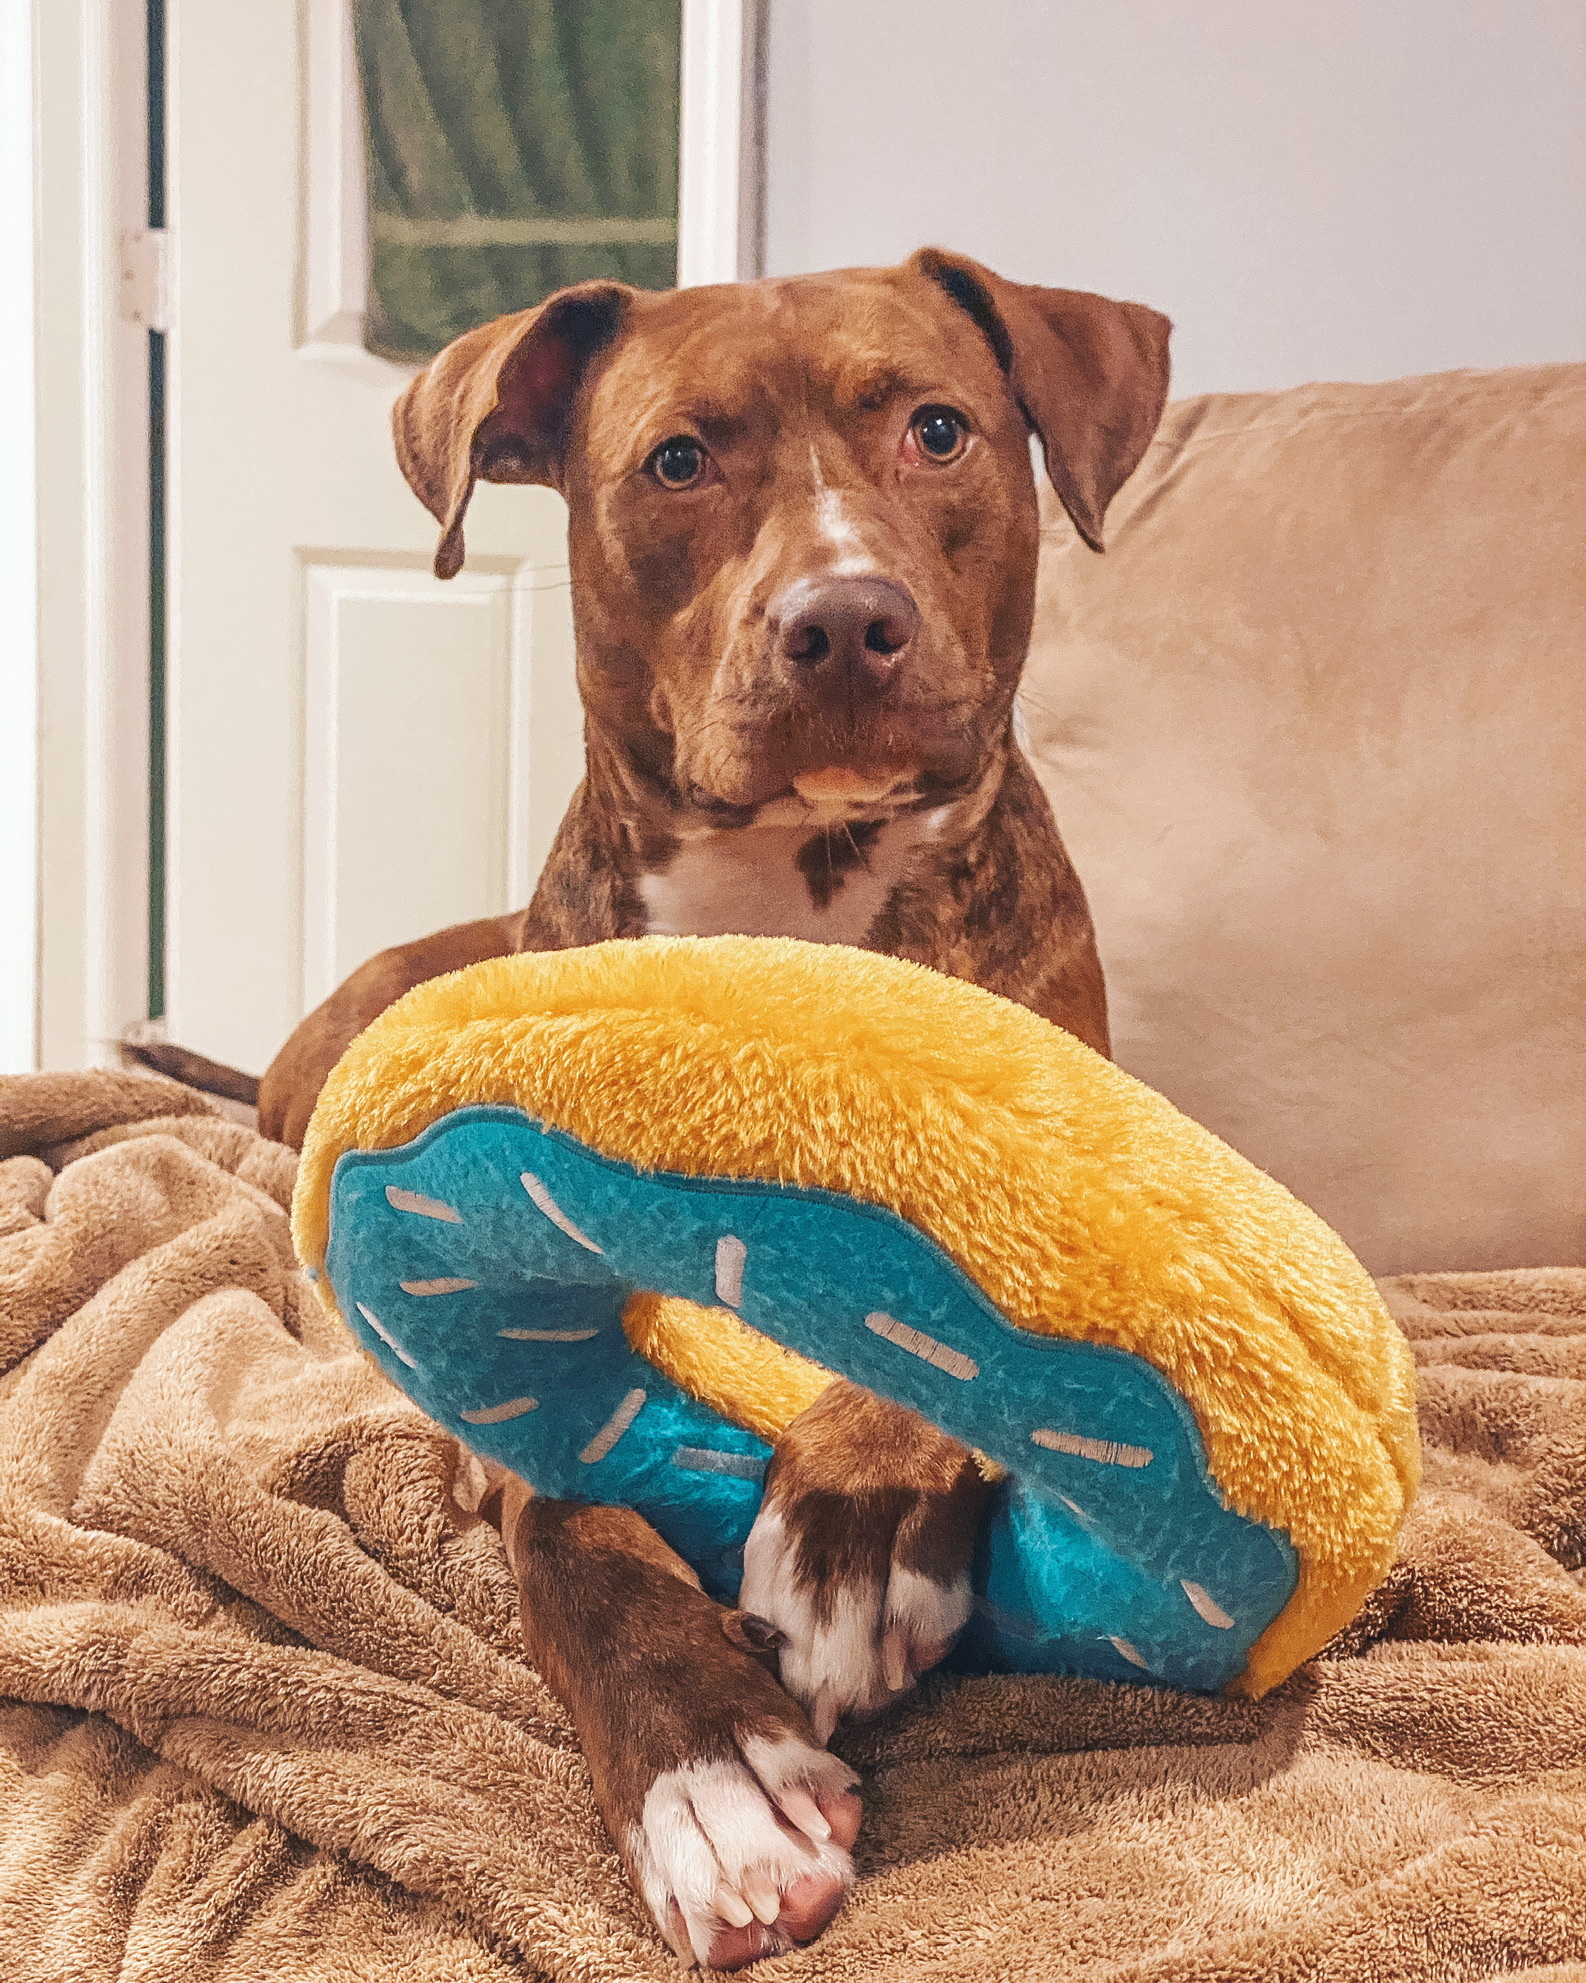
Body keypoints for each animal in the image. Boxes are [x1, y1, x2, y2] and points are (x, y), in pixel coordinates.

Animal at [253, 251, 1157, 1967]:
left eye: (937, 429)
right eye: (676, 460)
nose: (844, 616)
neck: (787, 899)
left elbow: (947, 1321)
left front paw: (857, 1515)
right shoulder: (517, 1340)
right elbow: (572, 1527)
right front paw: (714, 1774)